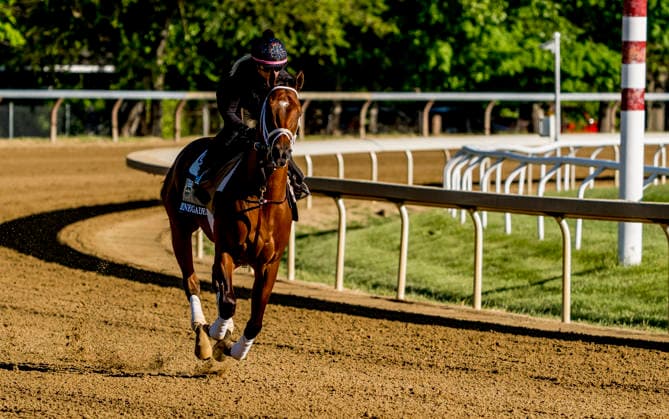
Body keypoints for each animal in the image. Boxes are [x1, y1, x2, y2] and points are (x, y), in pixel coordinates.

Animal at [161, 72, 304, 361]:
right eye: (269, 109)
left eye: (298, 110)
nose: (280, 153)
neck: (262, 197)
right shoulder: (226, 249)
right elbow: (227, 302)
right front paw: (217, 332)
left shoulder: (270, 262)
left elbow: (256, 317)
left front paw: (237, 348)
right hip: (179, 227)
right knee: (192, 282)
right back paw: (203, 333)